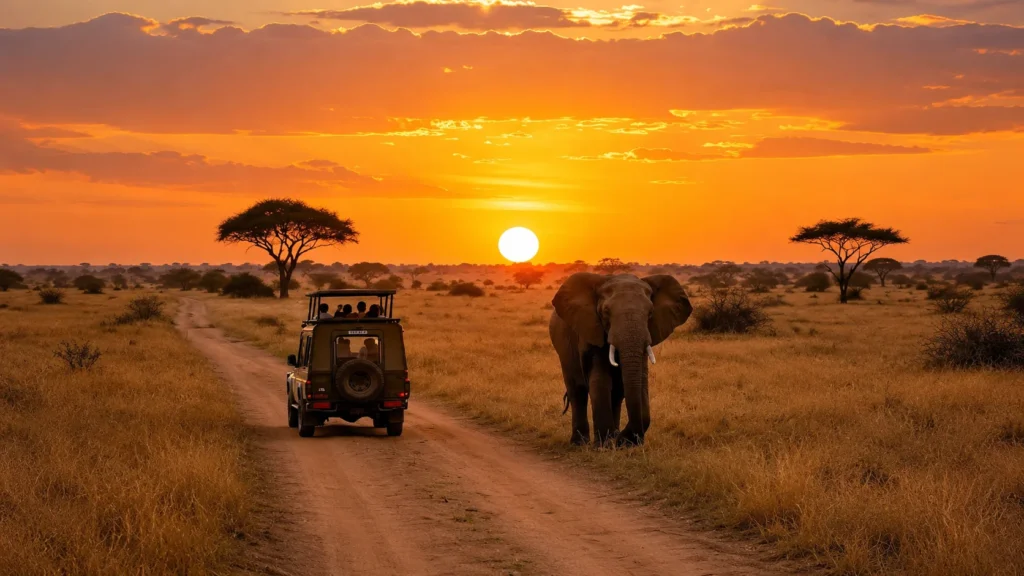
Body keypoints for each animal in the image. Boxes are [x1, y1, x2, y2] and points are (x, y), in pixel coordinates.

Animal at [549, 273, 692, 446]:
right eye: (605, 311)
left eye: (650, 312)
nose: (622, 438)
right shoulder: (591, 332)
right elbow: (600, 380)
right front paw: (605, 445)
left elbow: (641, 380)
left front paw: (621, 442)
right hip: (563, 350)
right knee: (577, 391)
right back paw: (580, 443)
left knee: (616, 394)